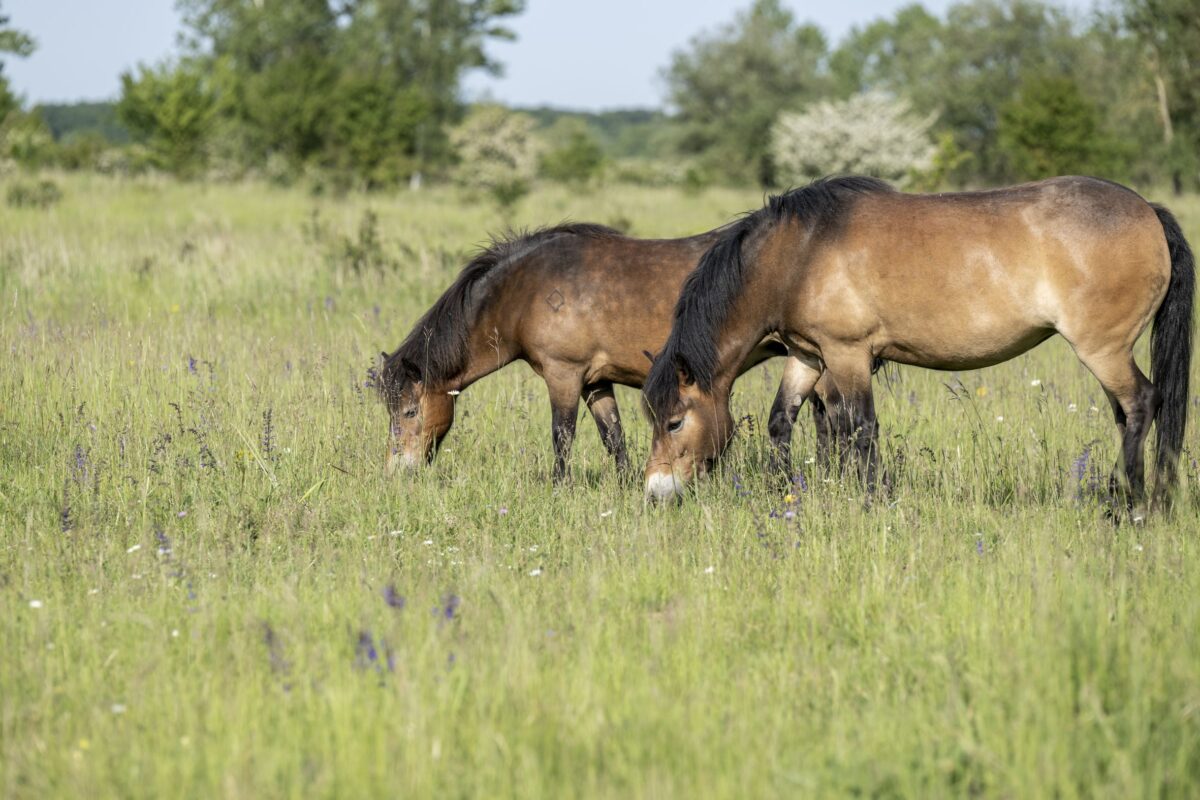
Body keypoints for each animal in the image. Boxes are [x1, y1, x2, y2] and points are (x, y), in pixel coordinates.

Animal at [648, 177, 1190, 510]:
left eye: (675, 421)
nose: (656, 491)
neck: (799, 252)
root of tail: (1147, 210)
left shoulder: (848, 353)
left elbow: (860, 429)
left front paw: (873, 500)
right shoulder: (808, 355)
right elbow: (784, 421)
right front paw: (789, 493)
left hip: (1103, 350)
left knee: (1142, 403)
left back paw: (1132, 505)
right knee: (1127, 414)